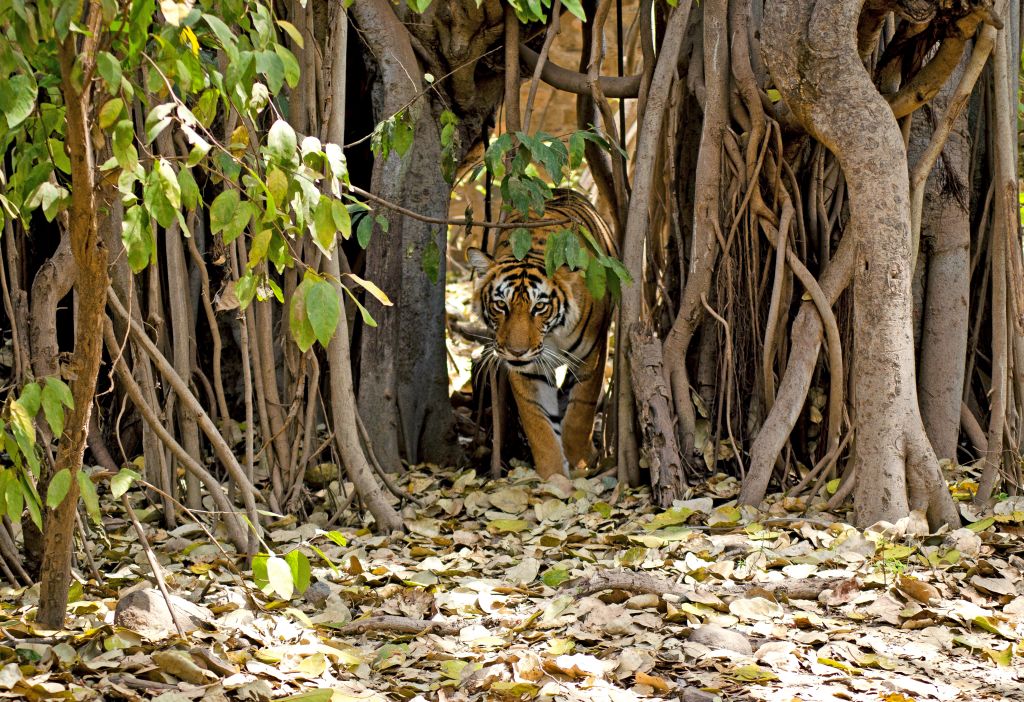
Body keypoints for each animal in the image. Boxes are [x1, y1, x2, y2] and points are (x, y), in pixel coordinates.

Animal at [466, 189, 616, 479]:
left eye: (539, 307)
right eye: (501, 305)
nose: (516, 351)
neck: (551, 337)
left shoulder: (592, 356)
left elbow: (580, 412)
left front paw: (577, 463)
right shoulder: (528, 371)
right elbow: (539, 425)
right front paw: (554, 478)